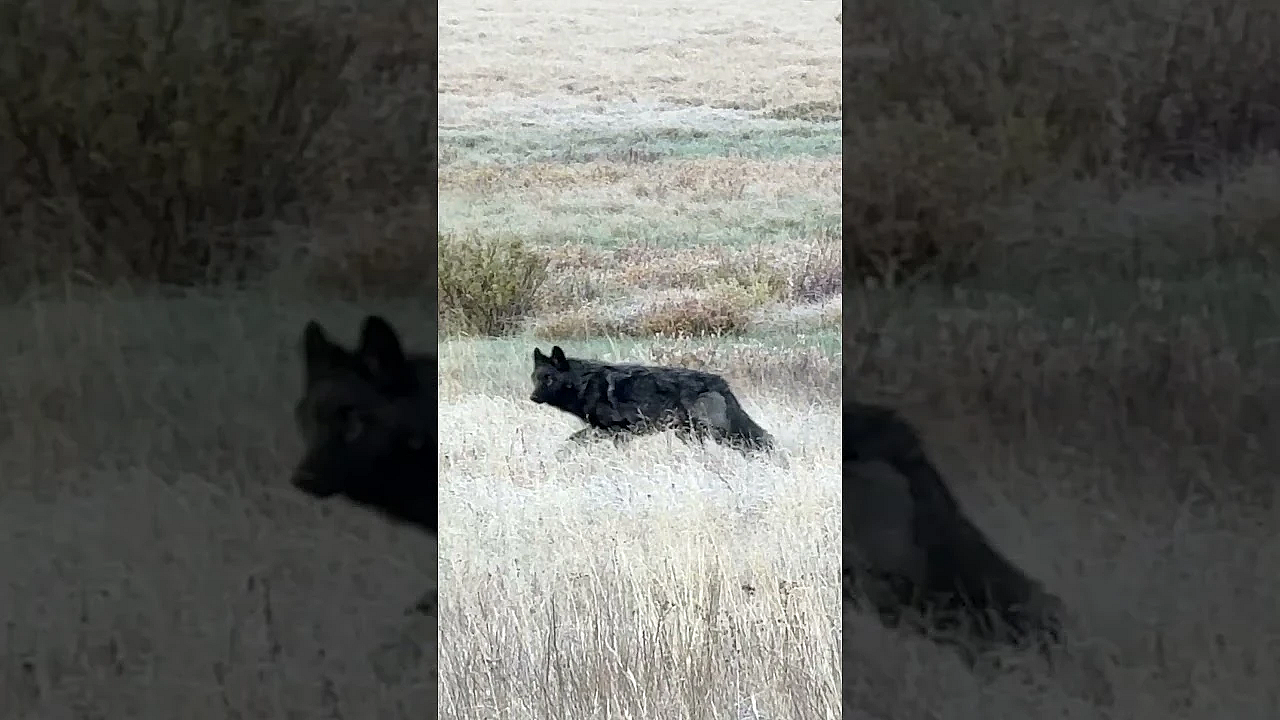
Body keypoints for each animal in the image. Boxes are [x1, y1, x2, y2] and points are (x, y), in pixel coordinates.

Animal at [529, 345, 775, 454]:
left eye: (549, 379)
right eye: (535, 378)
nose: (532, 397)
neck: (585, 383)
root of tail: (721, 382)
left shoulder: (617, 432)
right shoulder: (602, 431)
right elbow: (571, 441)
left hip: (716, 432)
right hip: (691, 434)